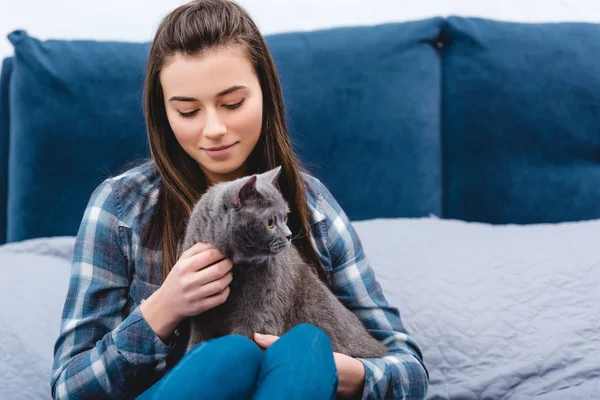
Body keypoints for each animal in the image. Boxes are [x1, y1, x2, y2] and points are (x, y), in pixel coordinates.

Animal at [178, 166, 386, 360]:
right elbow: (196, 344)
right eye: (270, 222)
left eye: (285, 217)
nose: (289, 235)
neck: (237, 268)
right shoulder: (203, 319)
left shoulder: (260, 314)